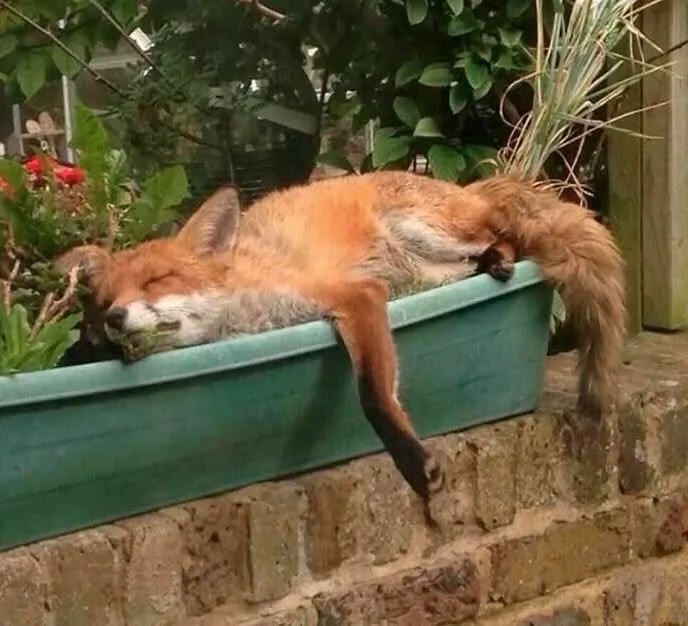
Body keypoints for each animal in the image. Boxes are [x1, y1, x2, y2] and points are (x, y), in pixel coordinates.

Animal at [55, 170, 627, 505]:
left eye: (158, 281)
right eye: (103, 302)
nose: (113, 320)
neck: (248, 315)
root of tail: (464, 184)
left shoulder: (356, 296)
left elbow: (373, 395)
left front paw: (412, 461)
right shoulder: (368, 297)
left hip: (424, 232)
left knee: (505, 234)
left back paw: (501, 258)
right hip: (422, 274)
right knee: (481, 255)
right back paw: (492, 264)